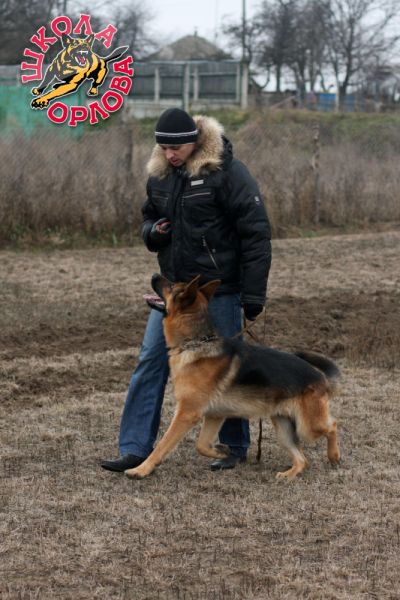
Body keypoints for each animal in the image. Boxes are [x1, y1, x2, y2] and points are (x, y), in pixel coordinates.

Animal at [125, 275, 340, 481]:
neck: (195, 343)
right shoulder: (214, 415)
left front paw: (140, 470)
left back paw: (334, 456)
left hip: (308, 427)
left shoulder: (186, 414)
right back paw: (289, 474)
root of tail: (320, 376)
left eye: (171, 286)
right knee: (302, 459)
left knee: (332, 426)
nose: (154, 274)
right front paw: (222, 453)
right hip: (283, 428)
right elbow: (201, 445)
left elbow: (162, 444)